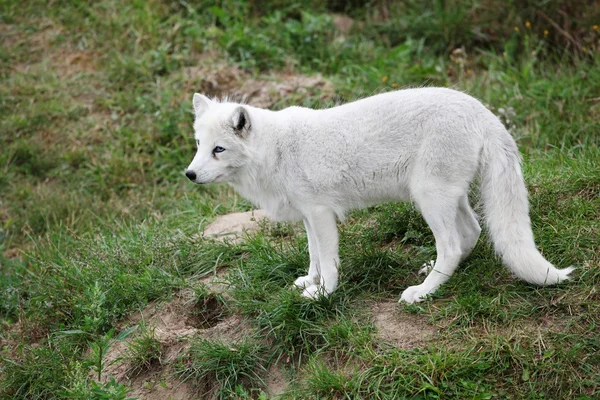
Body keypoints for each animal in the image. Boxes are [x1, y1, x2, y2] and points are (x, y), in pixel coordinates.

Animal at [184, 88, 572, 304]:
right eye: (199, 145)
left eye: (219, 149)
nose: (189, 175)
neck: (276, 151)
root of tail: (483, 111)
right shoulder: (309, 215)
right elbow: (312, 256)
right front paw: (310, 281)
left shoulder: (321, 213)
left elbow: (329, 261)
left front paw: (324, 294)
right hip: (449, 199)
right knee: (471, 233)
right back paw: (439, 273)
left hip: (428, 199)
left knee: (450, 245)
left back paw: (424, 292)